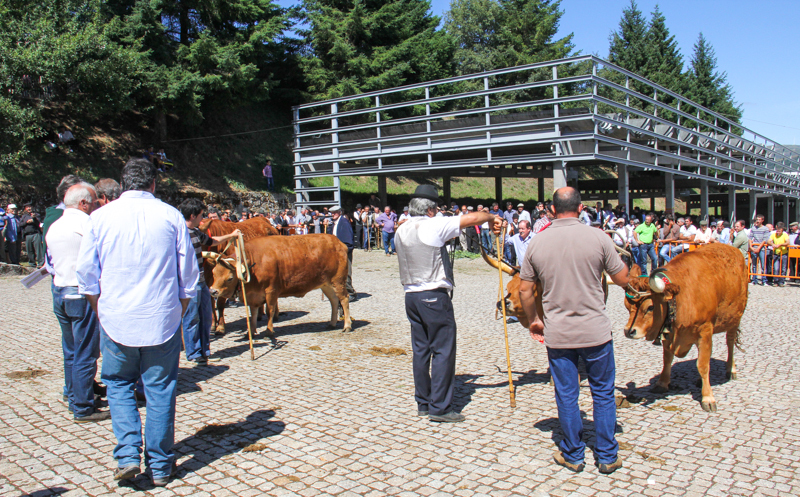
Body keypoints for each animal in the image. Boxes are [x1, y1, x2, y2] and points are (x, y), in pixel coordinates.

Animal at [205, 234, 352, 336]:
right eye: (213, 273)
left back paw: (347, 325)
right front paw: (251, 332)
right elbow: (253, 314)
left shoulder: (271, 290)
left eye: (230, 278)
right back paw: (332, 323)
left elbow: (270, 310)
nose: (212, 291)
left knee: (344, 299)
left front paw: (269, 331)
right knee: (334, 301)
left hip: (338, 281)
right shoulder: (254, 296)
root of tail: (337, 241)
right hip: (326, 284)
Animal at [624, 243, 752, 410]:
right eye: (627, 307)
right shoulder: (670, 332)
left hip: (735, 319)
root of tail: (734, 249)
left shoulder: (705, 330)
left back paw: (731, 369)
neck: (683, 296)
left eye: (650, 307)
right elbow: (668, 358)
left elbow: (703, 365)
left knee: (730, 343)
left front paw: (708, 398)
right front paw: (662, 383)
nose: (629, 331)